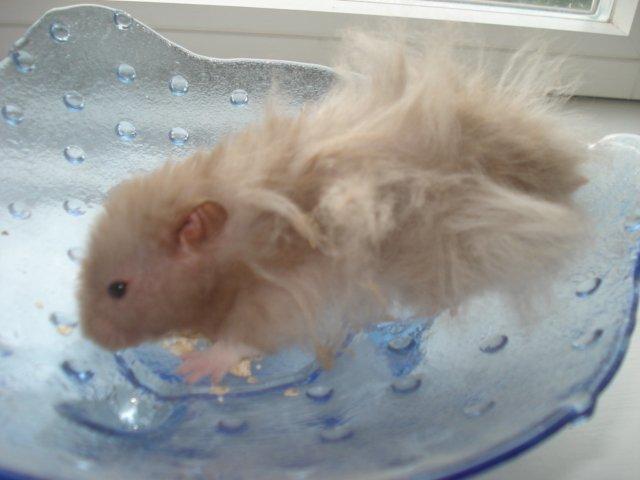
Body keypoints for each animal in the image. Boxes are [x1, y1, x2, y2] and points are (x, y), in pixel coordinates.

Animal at [78, 29, 588, 384]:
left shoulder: (279, 296)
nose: (89, 336)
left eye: (117, 289)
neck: (236, 248)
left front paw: (197, 368)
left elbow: (242, 339)